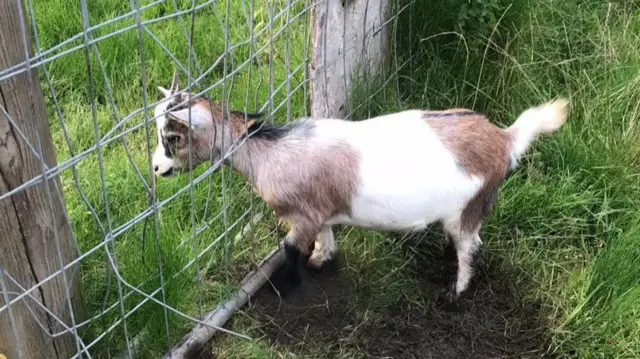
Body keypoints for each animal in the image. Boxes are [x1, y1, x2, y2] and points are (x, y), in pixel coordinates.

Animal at [151, 70, 568, 300]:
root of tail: (505, 139)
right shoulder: (319, 208)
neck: (268, 151)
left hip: (468, 206)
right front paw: (322, 259)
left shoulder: (301, 214)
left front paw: (289, 287)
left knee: (470, 246)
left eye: (172, 136)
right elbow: (326, 232)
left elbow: (289, 248)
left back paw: (456, 290)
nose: (156, 168)